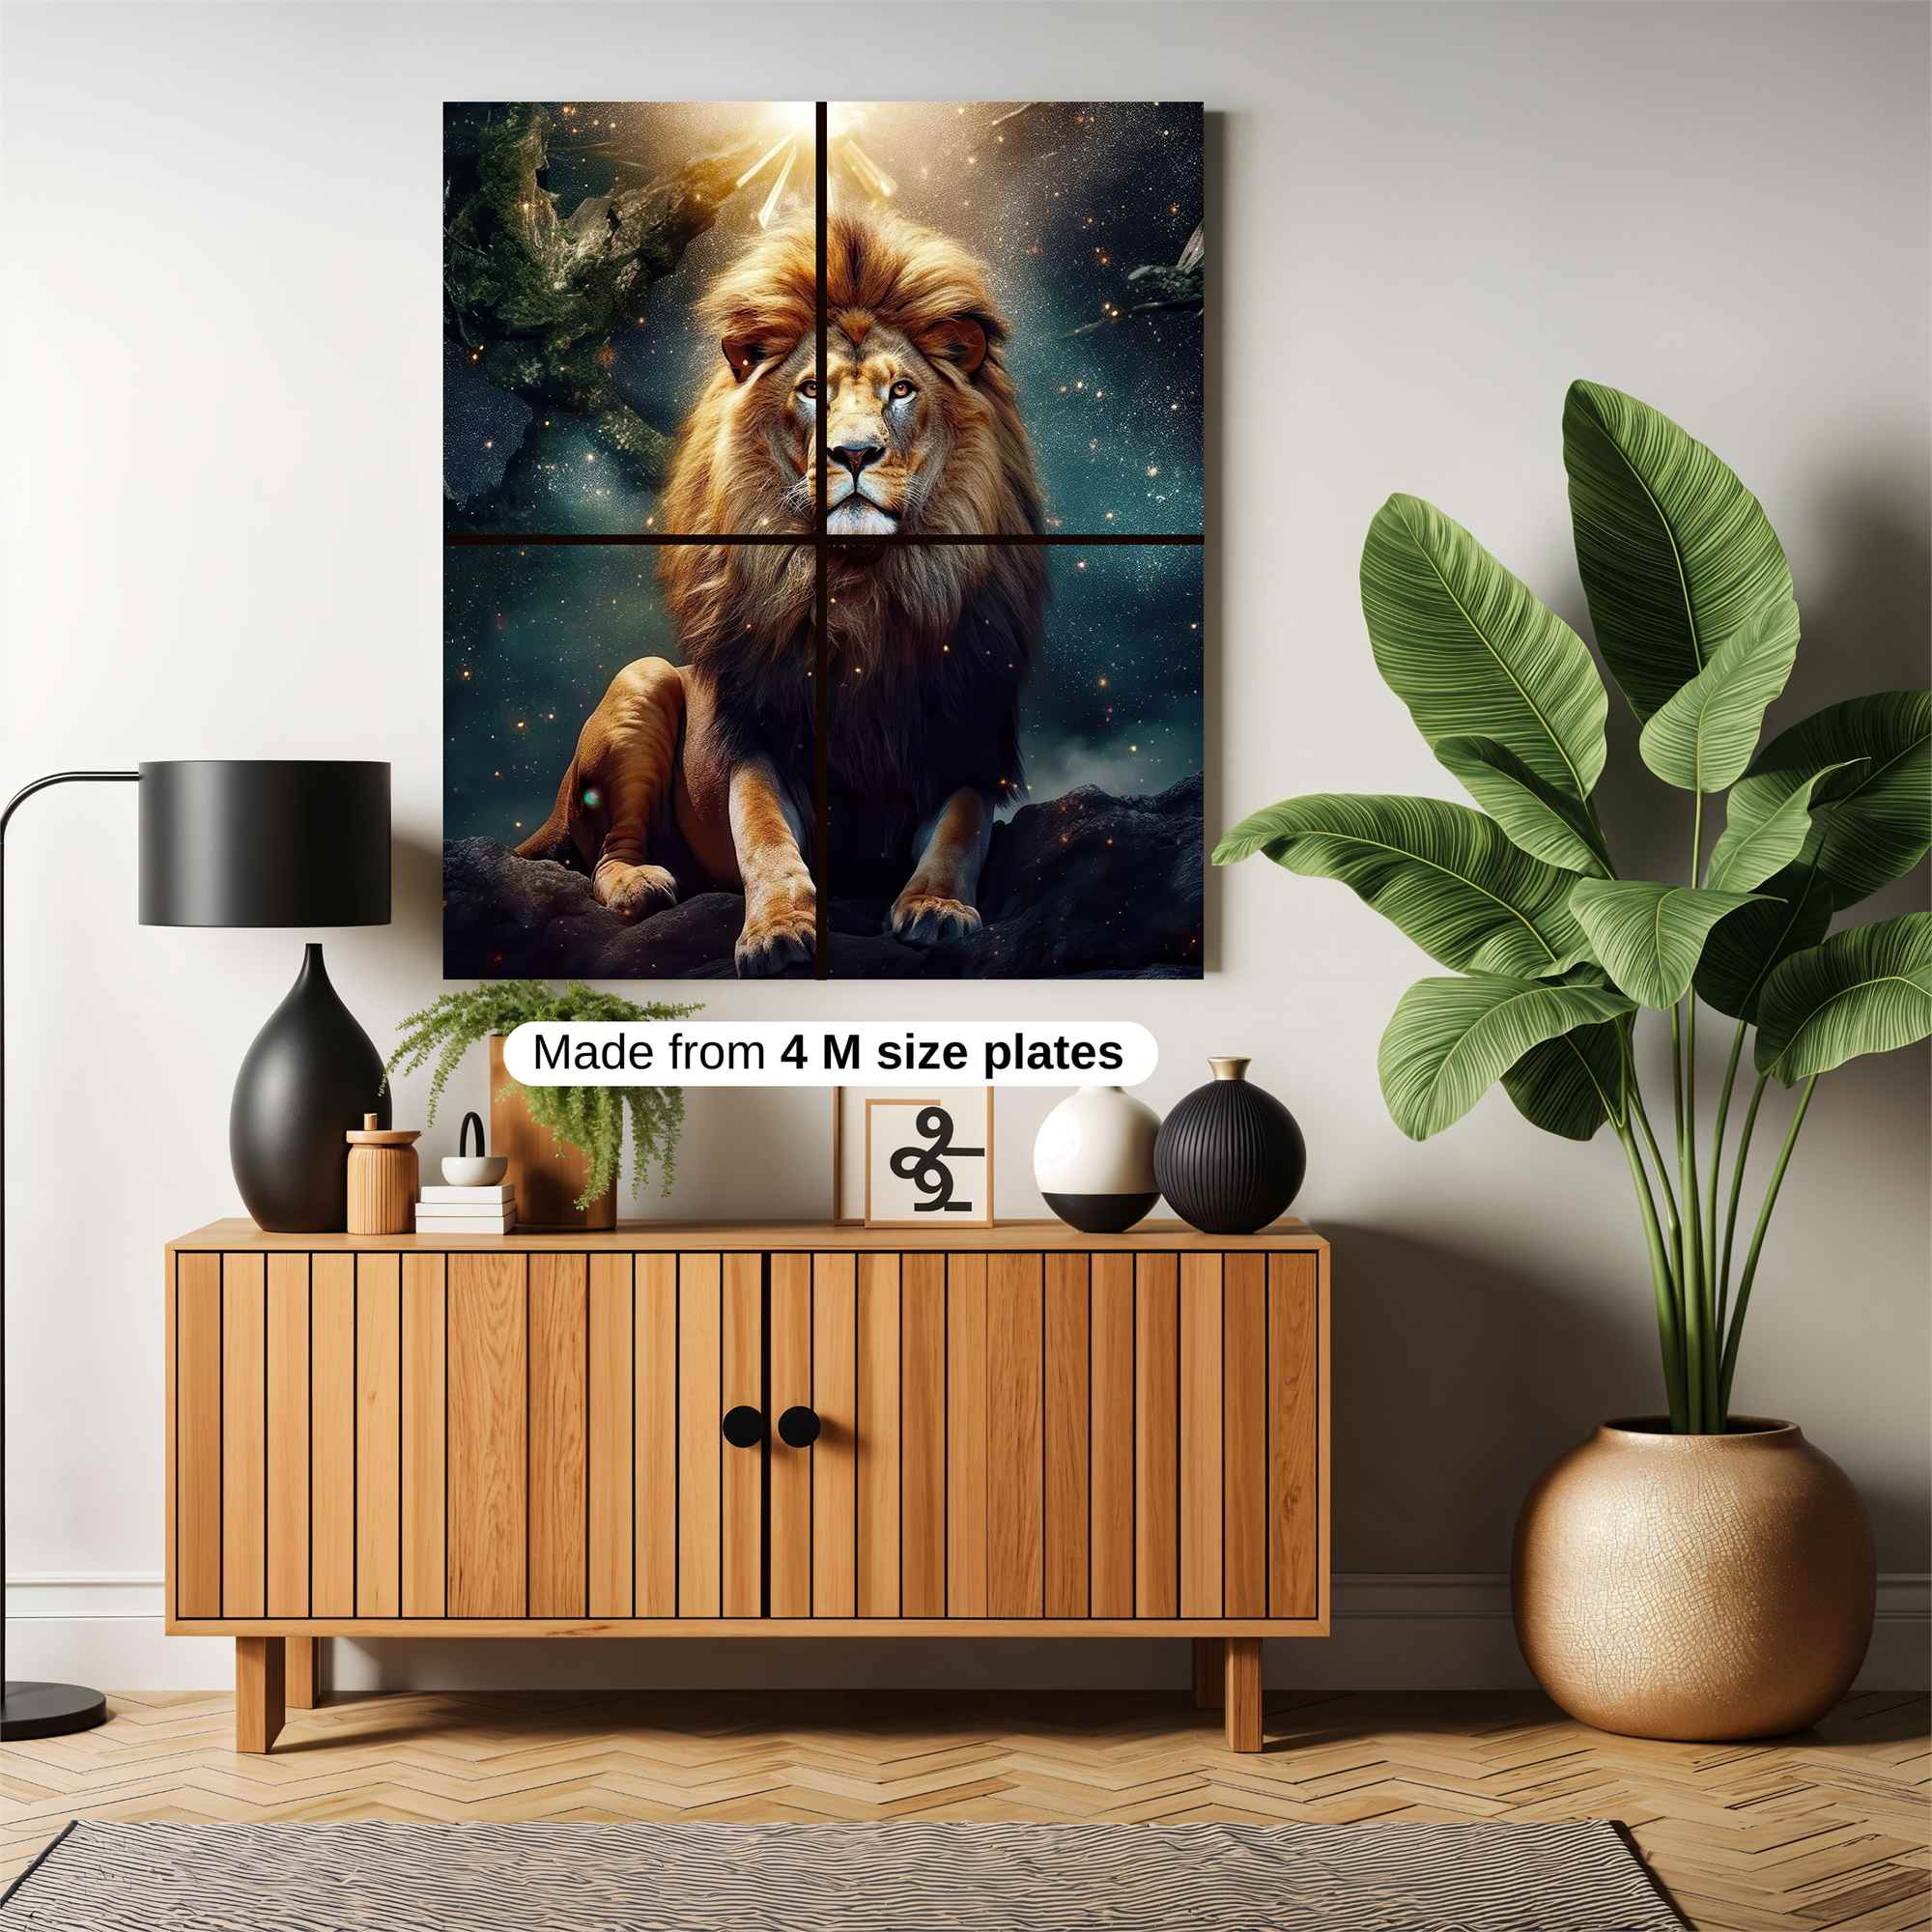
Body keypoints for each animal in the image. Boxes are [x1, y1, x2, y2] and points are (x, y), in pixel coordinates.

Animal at [515, 210, 1048, 975]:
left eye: (901, 390)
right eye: (812, 390)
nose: (853, 454)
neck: (860, 589)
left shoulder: (961, 742)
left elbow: (959, 832)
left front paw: (937, 907)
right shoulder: (761, 738)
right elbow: (765, 836)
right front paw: (777, 929)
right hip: (642, 681)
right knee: (607, 856)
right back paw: (642, 884)